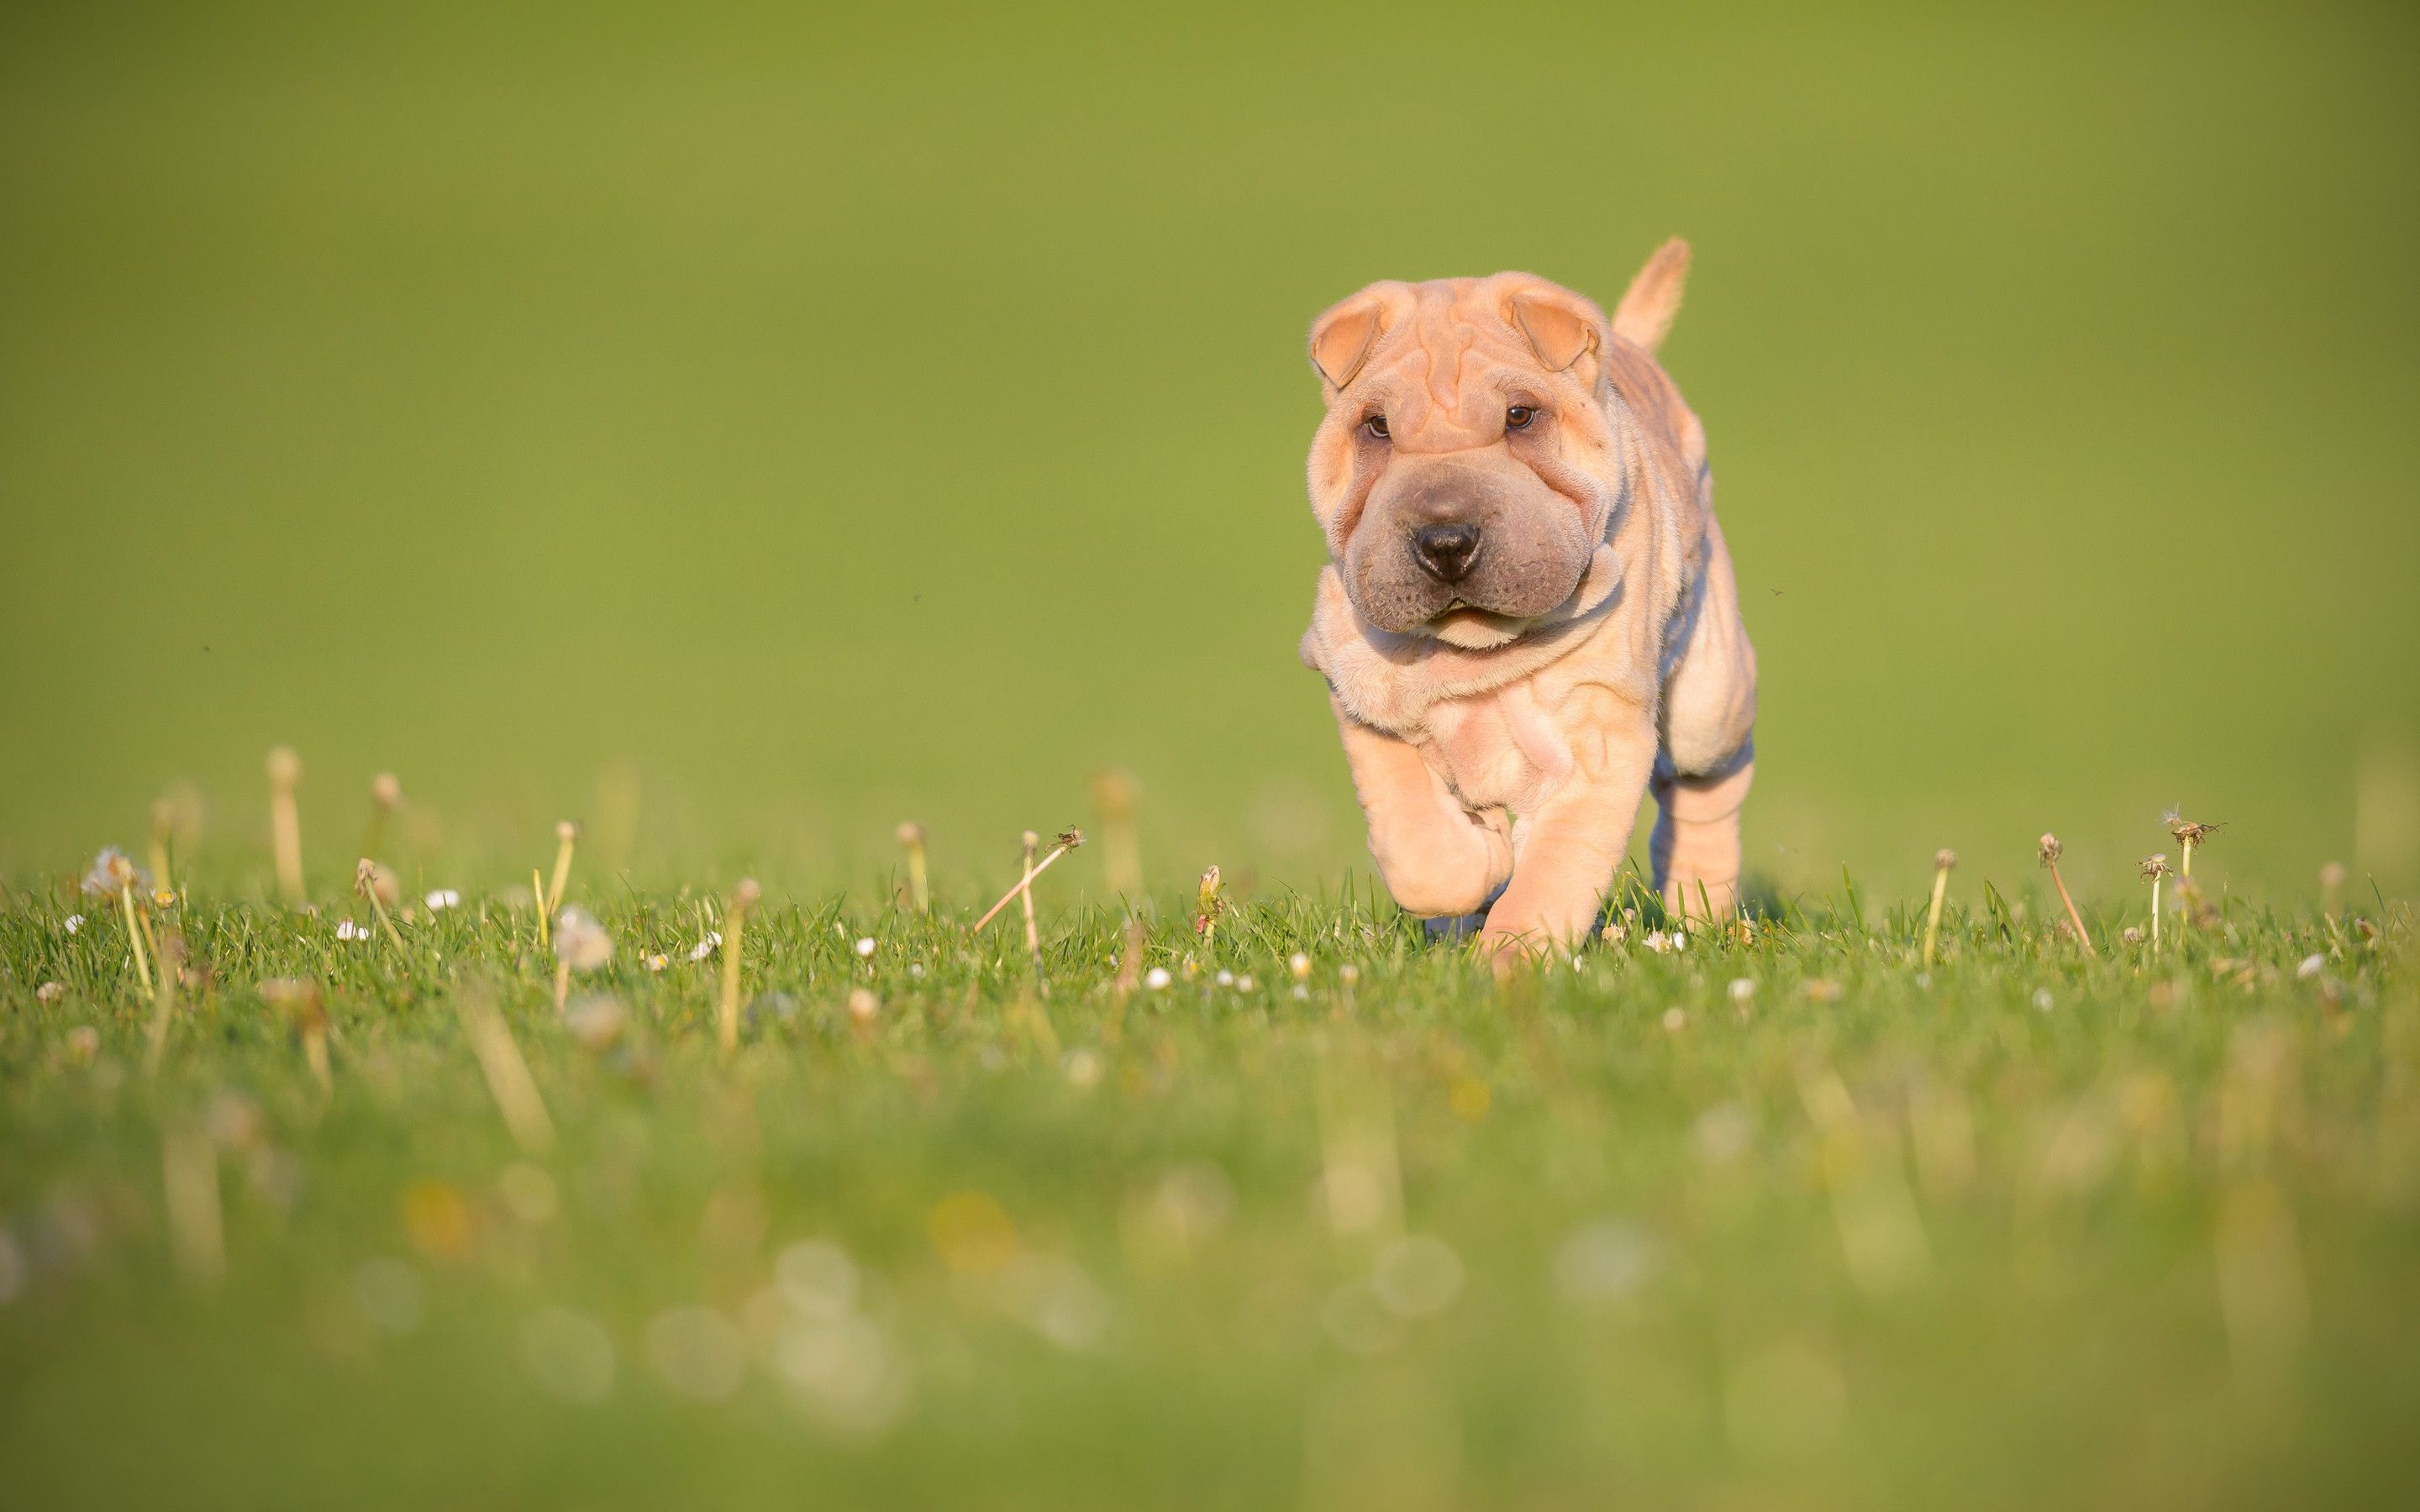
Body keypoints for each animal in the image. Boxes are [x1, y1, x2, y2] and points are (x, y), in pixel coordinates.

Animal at [1307, 243, 1761, 953]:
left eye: (1520, 416)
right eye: (1375, 427)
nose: (1445, 539)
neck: (1475, 646)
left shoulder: (1600, 740)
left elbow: (1552, 876)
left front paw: (1511, 958)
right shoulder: (1360, 691)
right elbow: (1419, 844)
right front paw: (1482, 858)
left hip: (1709, 700)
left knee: (1709, 779)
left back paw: (1701, 908)